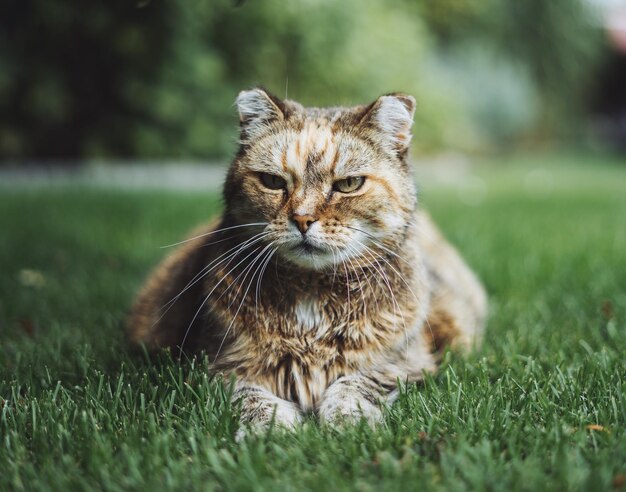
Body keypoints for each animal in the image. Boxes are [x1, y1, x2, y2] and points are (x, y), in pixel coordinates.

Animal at [128, 88, 488, 434]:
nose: (302, 219)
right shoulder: (215, 365)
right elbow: (249, 395)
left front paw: (347, 419)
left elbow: (355, 384)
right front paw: (271, 428)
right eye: (273, 181)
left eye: (349, 184)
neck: (311, 295)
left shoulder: (407, 360)